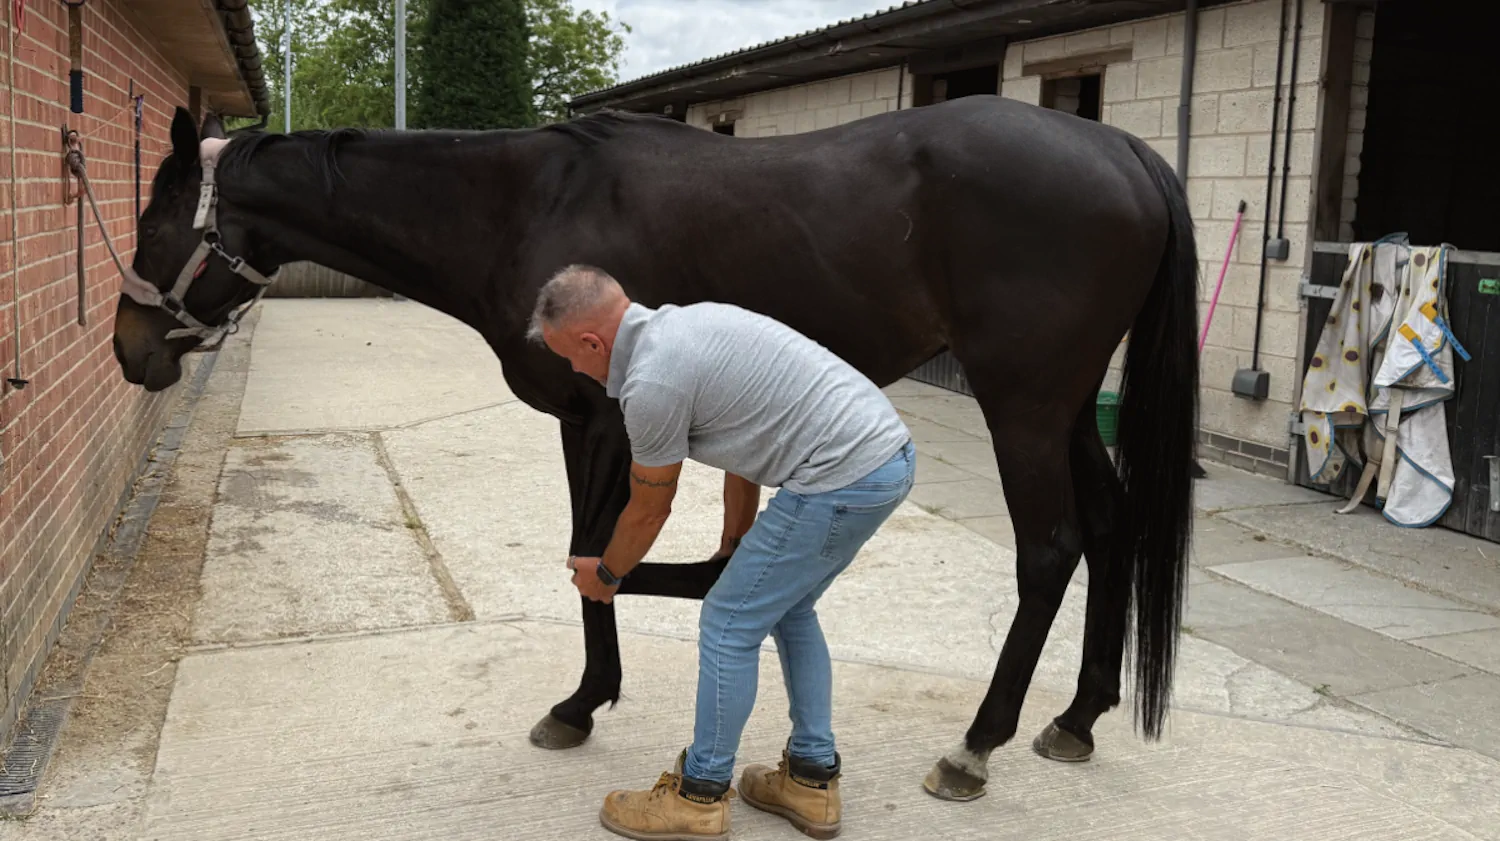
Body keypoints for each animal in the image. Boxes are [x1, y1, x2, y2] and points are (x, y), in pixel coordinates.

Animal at [111, 97, 1198, 801]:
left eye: (154, 227)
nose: (129, 350)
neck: (522, 206)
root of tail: (1123, 149)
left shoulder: (604, 420)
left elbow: (593, 556)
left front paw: (581, 702)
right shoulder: (587, 422)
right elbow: (591, 556)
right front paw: (596, 688)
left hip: (1025, 402)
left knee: (1051, 548)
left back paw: (976, 745)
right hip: (1066, 407)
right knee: (1113, 528)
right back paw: (1077, 717)